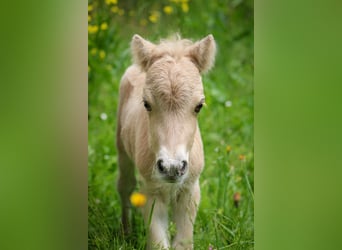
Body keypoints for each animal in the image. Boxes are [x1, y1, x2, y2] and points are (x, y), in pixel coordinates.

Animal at [116, 34, 215, 249]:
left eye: (199, 106)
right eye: (146, 104)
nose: (171, 167)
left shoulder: (190, 189)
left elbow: (183, 243)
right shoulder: (150, 190)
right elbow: (158, 243)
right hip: (121, 149)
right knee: (125, 187)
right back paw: (125, 233)